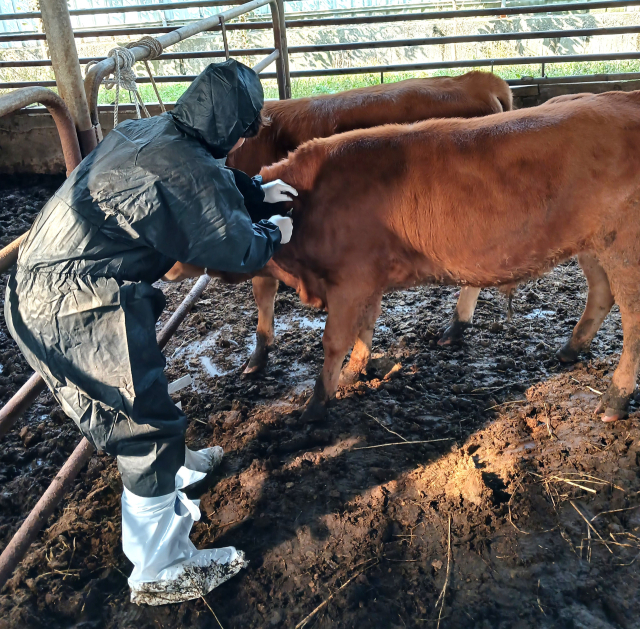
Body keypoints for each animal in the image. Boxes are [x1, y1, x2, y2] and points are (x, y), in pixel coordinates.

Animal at [246, 89, 640, 422]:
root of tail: (624, 97)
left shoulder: (351, 279)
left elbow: (333, 341)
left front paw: (316, 403)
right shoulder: (367, 281)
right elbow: (365, 326)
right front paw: (355, 371)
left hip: (625, 248)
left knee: (632, 318)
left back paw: (615, 398)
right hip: (592, 244)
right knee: (601, 293)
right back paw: (570, 348)